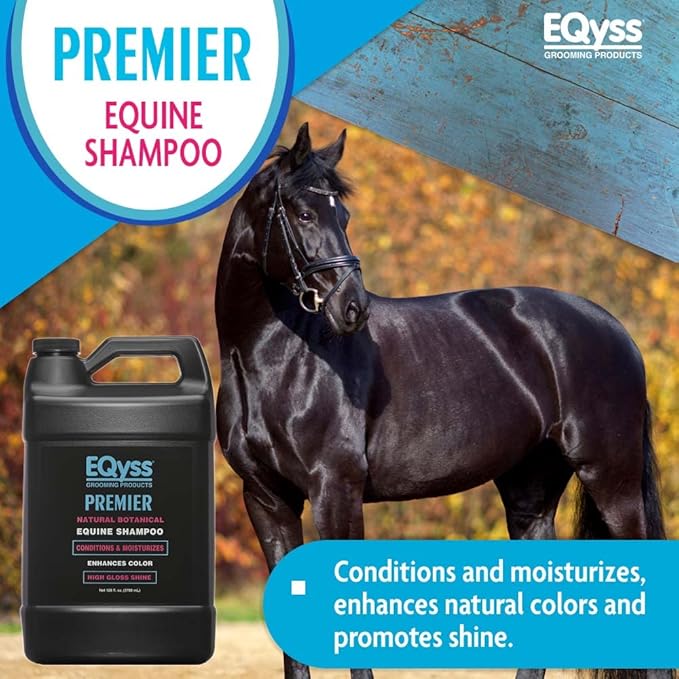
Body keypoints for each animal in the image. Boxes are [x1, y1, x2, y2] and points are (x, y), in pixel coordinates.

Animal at [215, 122, 668, 679]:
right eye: (303, 213)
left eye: (342, 216)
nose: (353, 308)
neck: (274, 358)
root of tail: (618, 332)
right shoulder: (267, 499)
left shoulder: (335, 492)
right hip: (531, 490)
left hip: (613, 481)